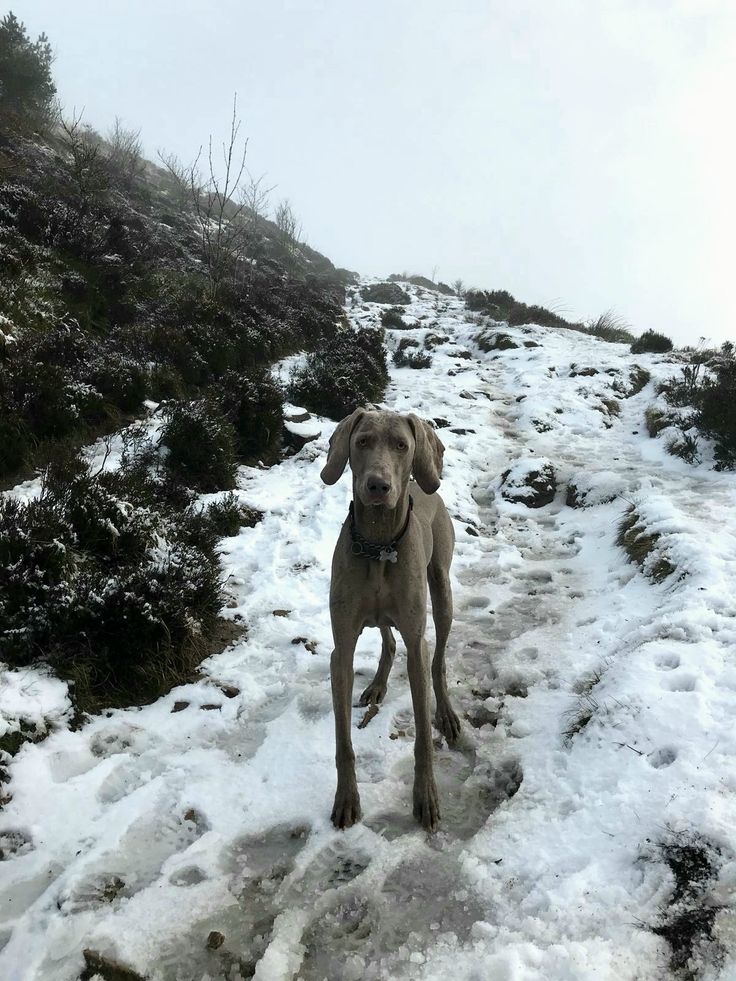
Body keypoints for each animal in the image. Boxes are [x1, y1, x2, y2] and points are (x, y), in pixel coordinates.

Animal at [318, 406, 458, 828]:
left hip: (441, 591)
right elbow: (343, 741)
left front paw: (425, 796)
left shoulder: (417, 641)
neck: (379, 544)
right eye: (362, 442)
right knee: (388, 639)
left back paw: (447, 713)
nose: (377, 486)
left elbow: (423, 736)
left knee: (438, 661)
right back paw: (378, 684)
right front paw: (346, 798)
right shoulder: (342, 649)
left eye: (401, 445)